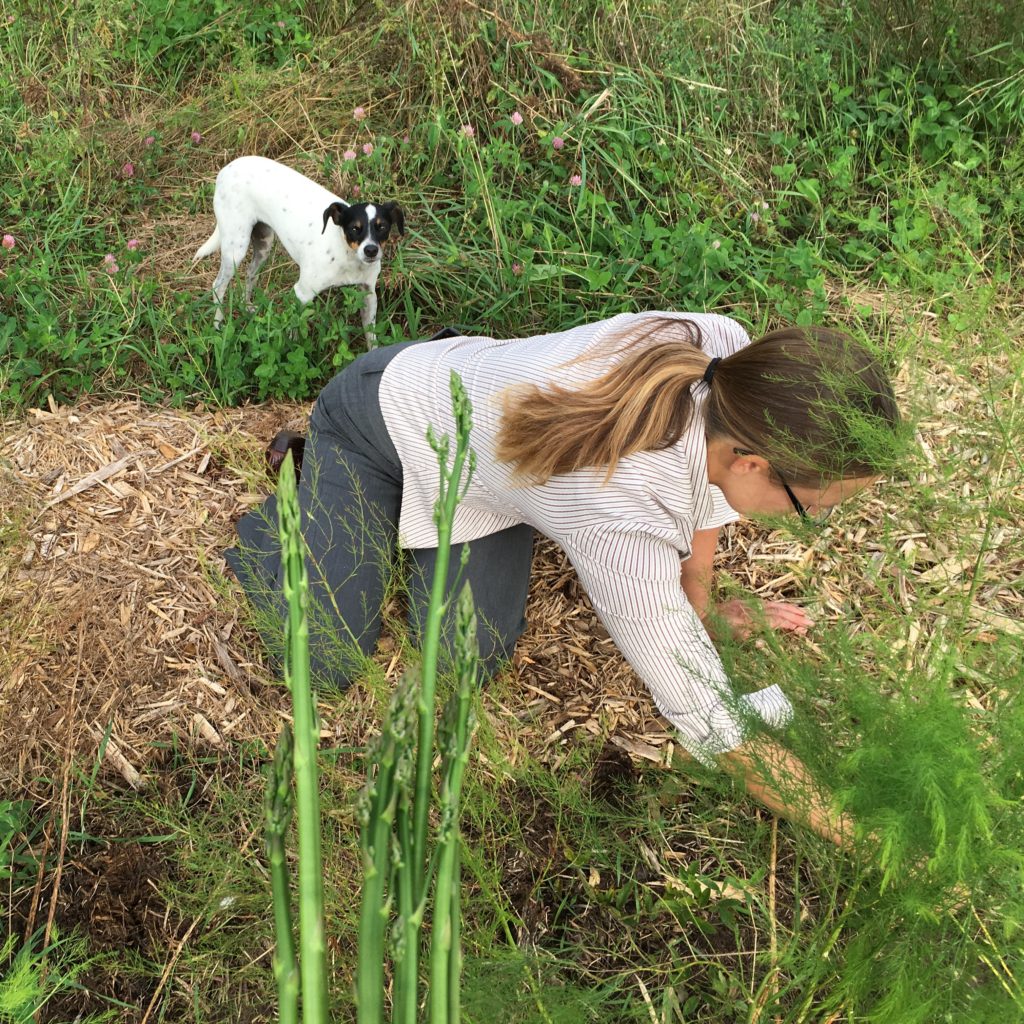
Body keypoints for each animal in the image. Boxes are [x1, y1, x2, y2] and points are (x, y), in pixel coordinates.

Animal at [192, 154, 403, 348]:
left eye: (382, 227)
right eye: (354, 228)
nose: (371, 250)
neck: (347, 254)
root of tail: (226, 168)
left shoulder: (368, 294)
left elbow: (371, 337)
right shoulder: (302, 293)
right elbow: (295, 327)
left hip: (264, 243)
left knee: (250, 273)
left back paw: (247, 307)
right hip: (236, 248)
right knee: (218, 285)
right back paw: (219, 326)